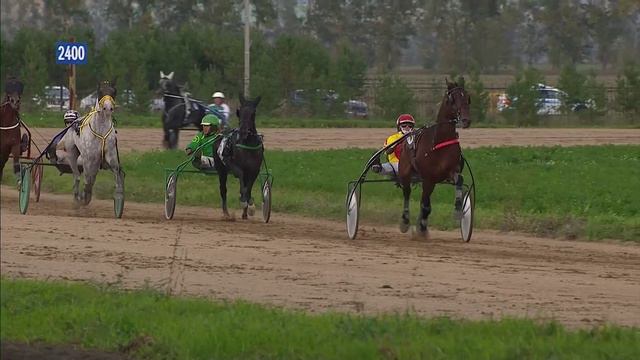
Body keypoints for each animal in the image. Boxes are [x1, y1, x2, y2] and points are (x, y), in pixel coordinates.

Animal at [65, 80, 125, 212]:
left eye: (114, 91)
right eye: (100, 92)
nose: (108, 108)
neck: (100, 130)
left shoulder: (111, 157)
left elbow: (117, 173)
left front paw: (119, 196)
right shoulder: (89, 160)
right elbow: (87, 181)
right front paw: (83, 198)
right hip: (72, 154)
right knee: (77, 176)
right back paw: (77, 198)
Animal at [396, 78, 470, 236]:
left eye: (467, 97)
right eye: (453, 98)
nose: (466, 120)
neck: (439, 141)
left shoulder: (451, 171)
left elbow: (459, 180)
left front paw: (458, 210)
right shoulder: (429, 177)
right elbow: (425, 205)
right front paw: (421, 226)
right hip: (406, 173)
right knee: (407, 193)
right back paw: (406, 221)